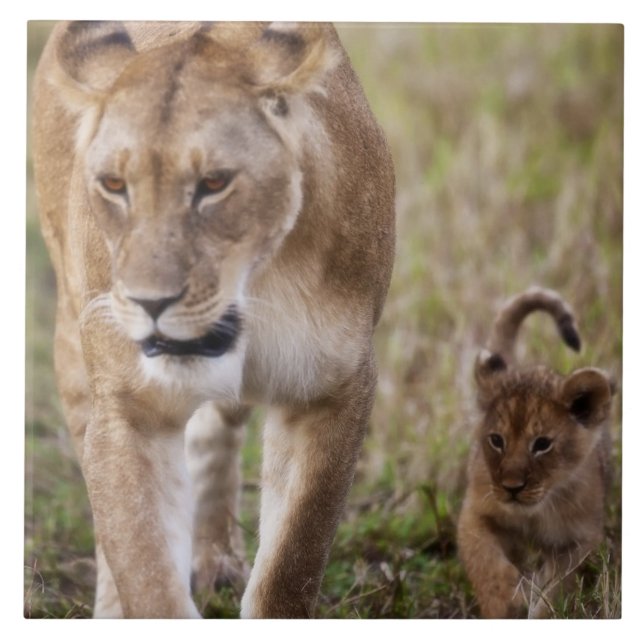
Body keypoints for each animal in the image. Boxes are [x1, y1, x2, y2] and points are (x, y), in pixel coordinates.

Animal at [32, 21, 395, 618]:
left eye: (215, 182)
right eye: (114, 184)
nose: (150, 302)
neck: (257, 288)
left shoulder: (332, 389)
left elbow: (293, 560)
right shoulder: (129, 409)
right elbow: (144, 569)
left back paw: (214, 559)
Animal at [457, 287, 614, 618]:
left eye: (542, 444)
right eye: (496, 440)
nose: (512, 488)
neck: (535, 514)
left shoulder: (581, 539)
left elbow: (558, 588)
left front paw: (539, 610)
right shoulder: (475, 512)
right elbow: (483, 559)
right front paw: (505, 603)